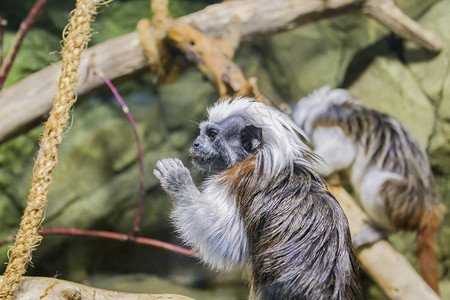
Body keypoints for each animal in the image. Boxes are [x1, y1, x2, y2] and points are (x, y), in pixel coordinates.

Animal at [155, 98, 362, 300]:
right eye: (201, 134)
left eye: (212, 135)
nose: (195, 144)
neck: (253, 157)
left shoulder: (236, 182)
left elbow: (229, 245)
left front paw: (178, 181)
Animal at [294, 85, 444, 294]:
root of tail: (429, 208)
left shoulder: (332, 129)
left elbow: (342, 153)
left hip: (403, 202)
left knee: (373, 184)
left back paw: (380, 229)